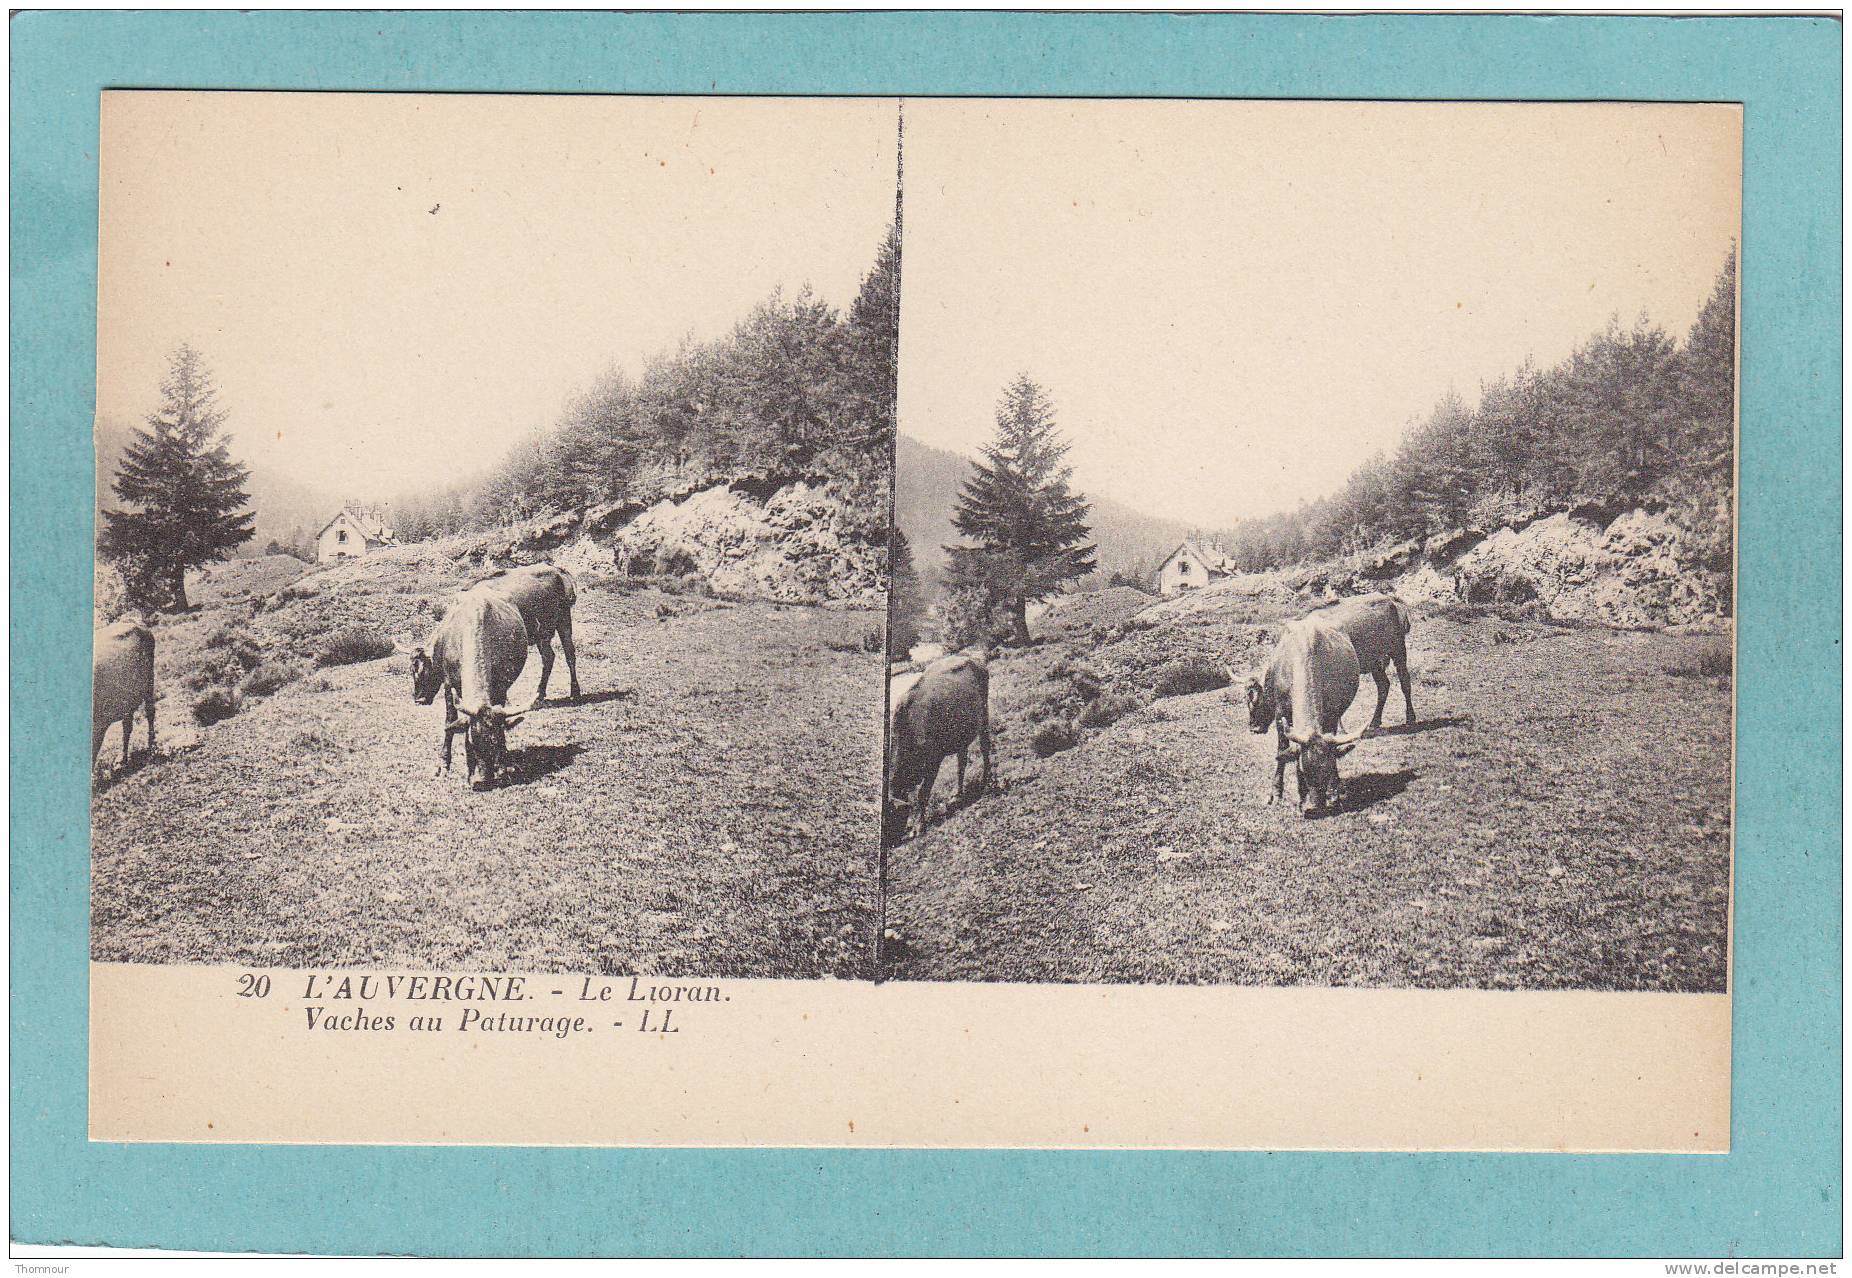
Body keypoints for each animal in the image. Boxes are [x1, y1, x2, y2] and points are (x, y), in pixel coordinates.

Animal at [93, 618, 156, 766]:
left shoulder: (98, 725)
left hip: (149, 681)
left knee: (150, 712)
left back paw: (151, 749)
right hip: (128, 696)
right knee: (127, 726)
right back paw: (124, 759)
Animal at [424, 585, 529, 785]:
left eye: (496, 741)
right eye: (471, 742)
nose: (483, 777)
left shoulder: (500, 686)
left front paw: (503, 764)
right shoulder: (448, 684)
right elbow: (450, 720)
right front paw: (444, 764)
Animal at [885, 648, 992, 837]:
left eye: (891, 818)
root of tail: (972, 659)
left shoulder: (934, 761)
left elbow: (922, 794)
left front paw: (918, 826)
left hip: (984, 715)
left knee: (984, 747)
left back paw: (986, 780)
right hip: (961, 733)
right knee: (961, 762)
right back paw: (957, 795)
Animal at [1303, 588, 1414, 726]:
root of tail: (1392, 601)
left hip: (1398, 651)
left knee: (1405, 681)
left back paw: (1410, 718)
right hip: (1376, 663)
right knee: (1384, 686)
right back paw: (1375, 722)